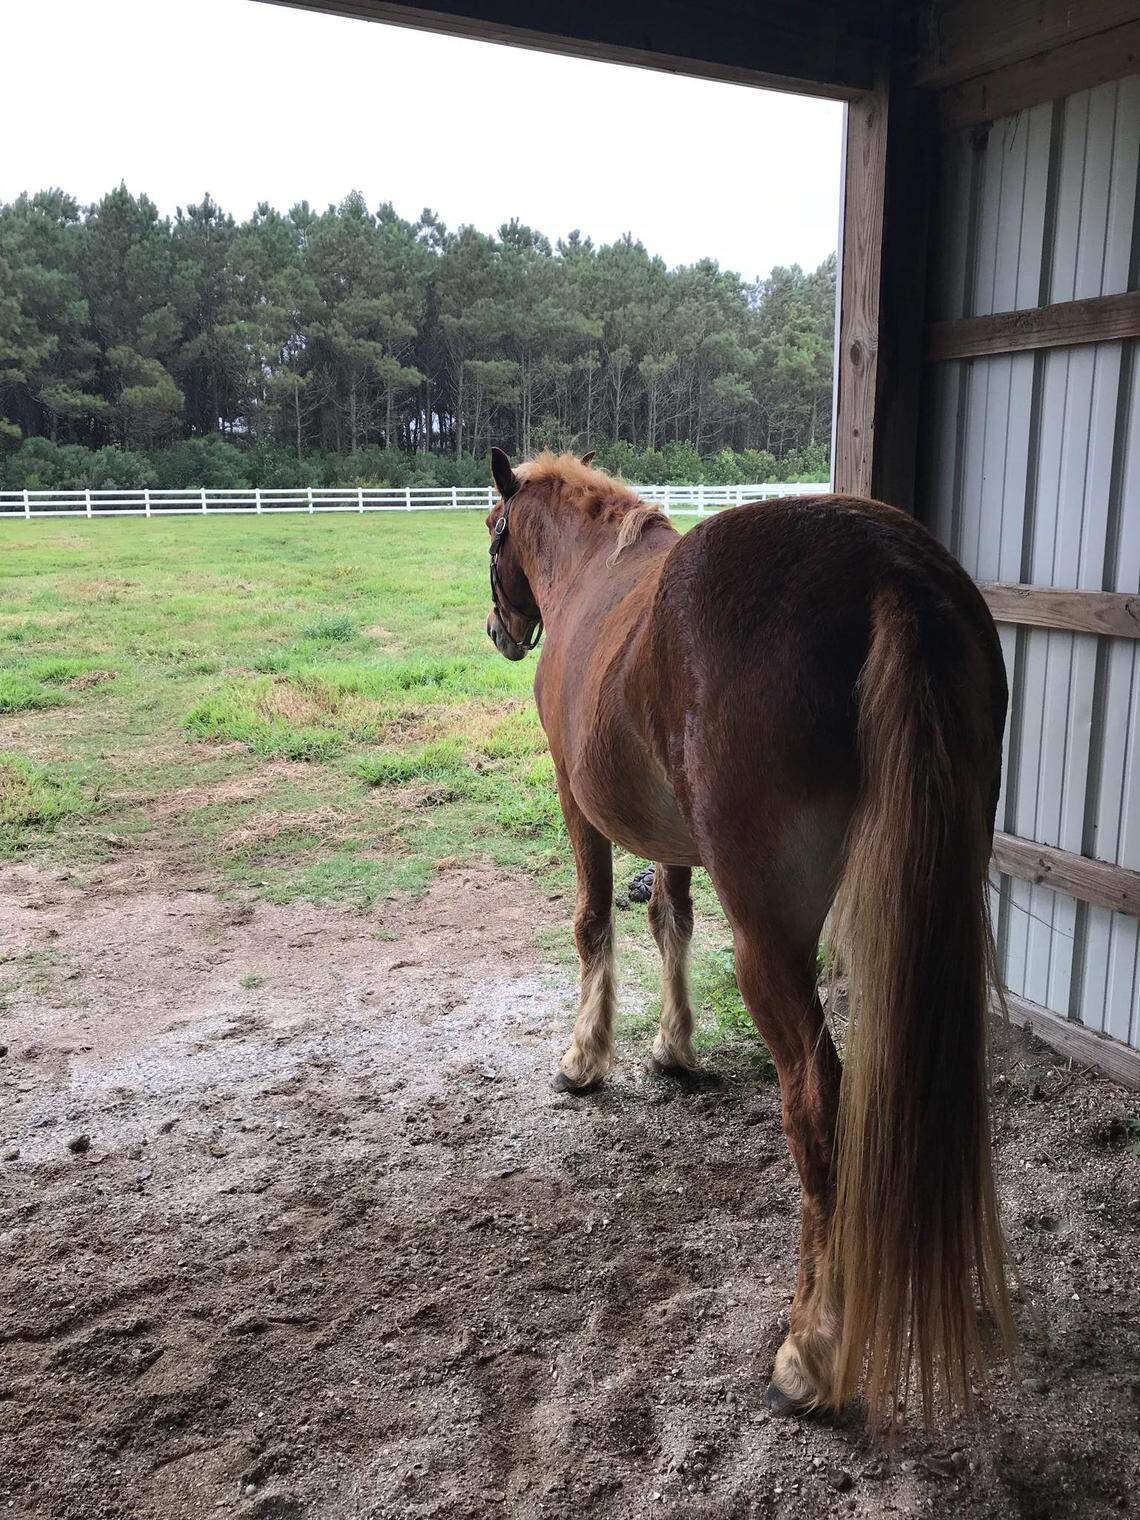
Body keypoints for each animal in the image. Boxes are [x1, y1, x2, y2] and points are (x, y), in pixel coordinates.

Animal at [482, 448, 1013, 1428]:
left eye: (495, 535)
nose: (502, 628)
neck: (594, 576)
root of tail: (889, 572)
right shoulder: (674, 840)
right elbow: (669, 920)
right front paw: (674, 1049)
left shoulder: (578, 803)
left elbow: (591, 923)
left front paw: (585, 1059)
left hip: (771, 936)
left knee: (817, 1096)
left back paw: (812, 1346)